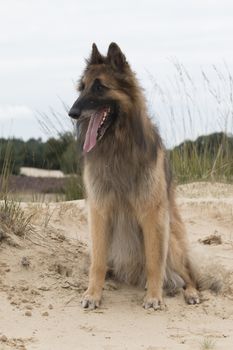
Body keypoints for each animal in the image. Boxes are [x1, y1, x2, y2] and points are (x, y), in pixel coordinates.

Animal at [68, 43, 200, 308]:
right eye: (82, 87)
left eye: (99, 86)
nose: (72, 112)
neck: (117, 145)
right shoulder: (100, 211)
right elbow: (97, 262)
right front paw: (93, 293)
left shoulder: (152, 214)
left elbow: (154, 261)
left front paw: (154, 296)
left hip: (172, 241)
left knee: (187, 275)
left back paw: (189, 292)